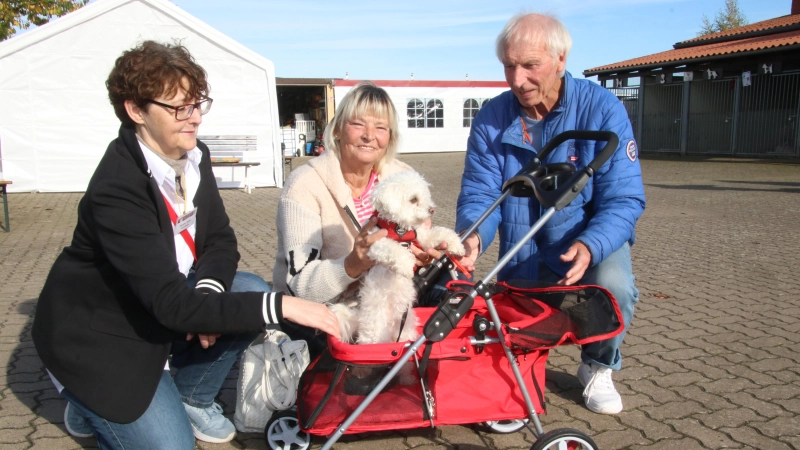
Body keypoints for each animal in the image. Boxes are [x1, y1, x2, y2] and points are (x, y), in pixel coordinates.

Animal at [332, 170, 468, 348]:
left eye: (425, 196)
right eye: (414, 199)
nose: (431, 209)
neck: (399, 229)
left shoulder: (422, 238)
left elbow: (440, 233)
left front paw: (457, 246)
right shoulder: (375, 244)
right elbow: (395, 249)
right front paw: (406, 267)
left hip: (406, 326)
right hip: (375, 331)